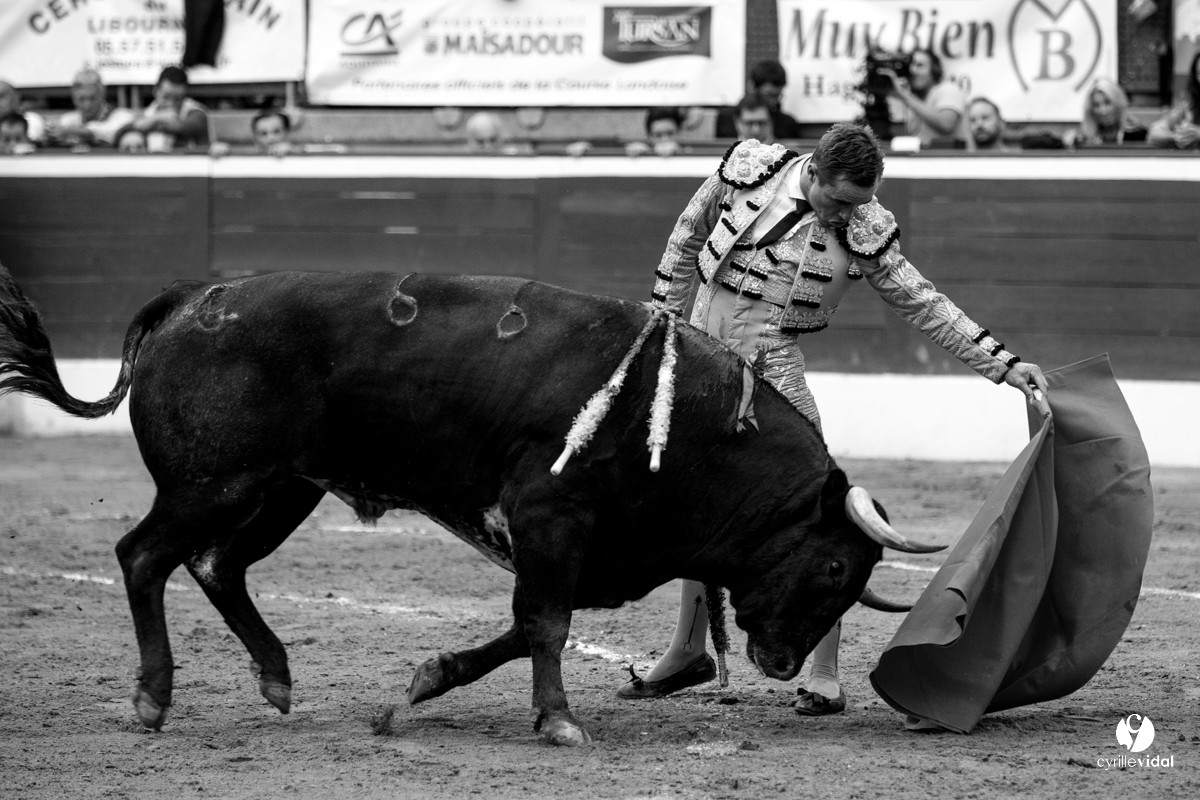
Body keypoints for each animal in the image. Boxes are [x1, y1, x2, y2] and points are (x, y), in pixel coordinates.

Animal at [0, 267, 941, 746]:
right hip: (211, 485)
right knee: (143, 557)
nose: (781, 663)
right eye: (831, 562)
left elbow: (525, 626)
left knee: (215, 564)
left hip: (280, 490)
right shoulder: (550, 518)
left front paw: (420, 685)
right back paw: (152, 702)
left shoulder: (585, 550)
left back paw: (275, 678)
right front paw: (559, 722)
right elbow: (546, 624)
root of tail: (186, 301)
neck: (686, 423)